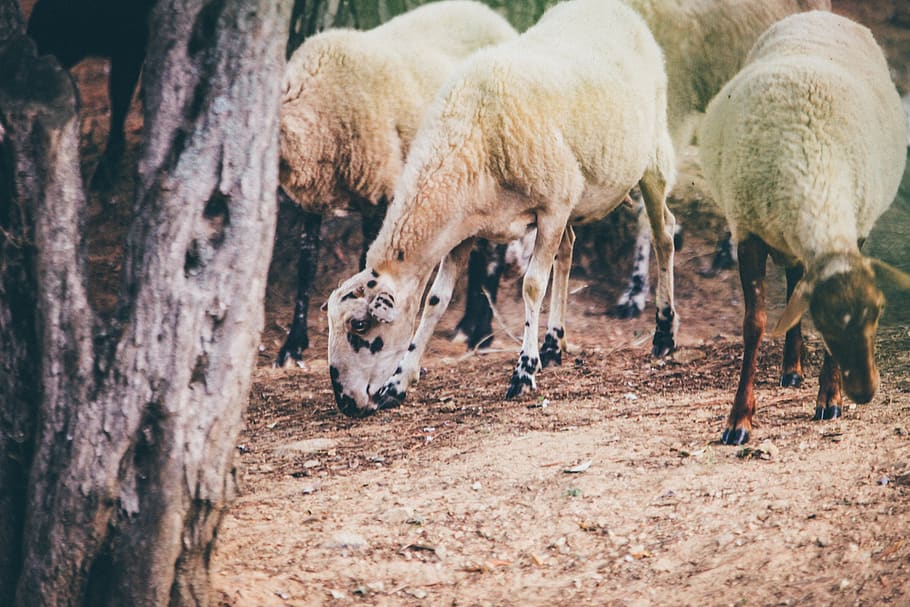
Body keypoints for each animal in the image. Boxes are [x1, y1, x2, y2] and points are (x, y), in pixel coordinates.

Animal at [275, 0, 517, 368]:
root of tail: (493, 16)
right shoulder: (313, 199)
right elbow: (307, 266)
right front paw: (292, 347)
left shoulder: (379, 189)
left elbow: (365, 267)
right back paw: (466, 328)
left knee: (493, 254)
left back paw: (483, 334)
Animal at [325, 0, 679, 418]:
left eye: (359, 327)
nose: (346, 403)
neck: (468, 133)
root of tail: (617, 10)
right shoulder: (464, 228)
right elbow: (435, 300)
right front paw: (399, 381)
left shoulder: (551, 206)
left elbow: (532, 286)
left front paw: (523, 373)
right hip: (572, 198)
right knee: (568, 249)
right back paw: (553, 344)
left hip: (650, 157)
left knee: (663, 234)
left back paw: (664, 335)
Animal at [698, 10, 910, 446]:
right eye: (823, 321)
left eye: (879, 310)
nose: (865, 392)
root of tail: (820, 13)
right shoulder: (748, 232)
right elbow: (754, 325)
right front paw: (738, 420)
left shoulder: (855, 230)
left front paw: (830, 398)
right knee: (795, 282)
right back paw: (791, 370)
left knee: (797, 279)